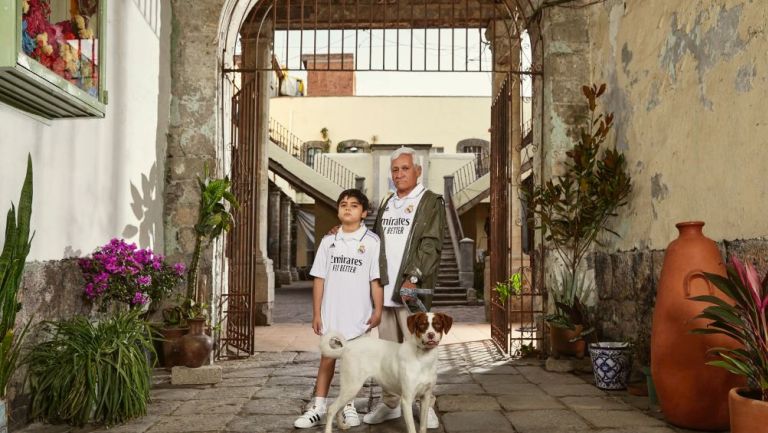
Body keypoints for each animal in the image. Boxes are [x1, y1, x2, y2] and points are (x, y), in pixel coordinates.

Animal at [320, 310, 452, 432]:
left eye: (438, 325)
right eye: (422, 325)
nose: (431, 335)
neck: (423, 359)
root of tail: (347, 347)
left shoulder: (425, 397)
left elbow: (423, 426)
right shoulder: (406, 400)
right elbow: (412, 429)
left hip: (350, 389)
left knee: (338, 408)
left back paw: (342, 426)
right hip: (351, 387)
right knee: (332, 409)